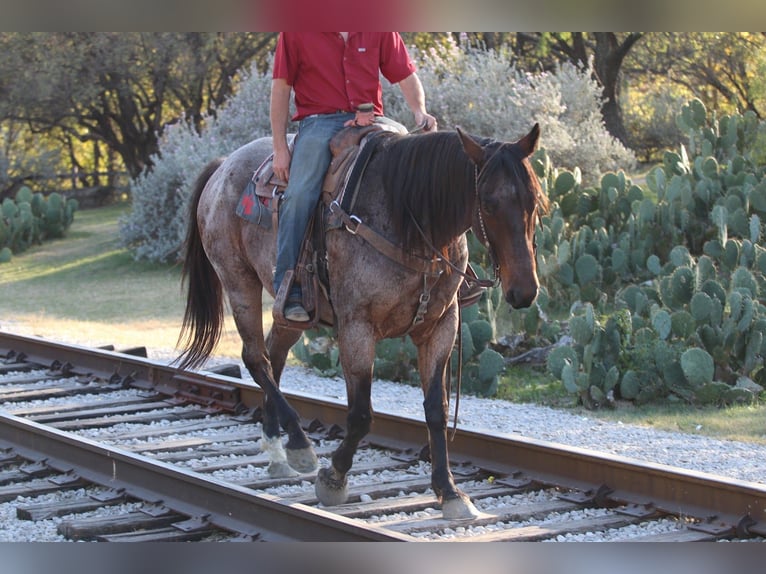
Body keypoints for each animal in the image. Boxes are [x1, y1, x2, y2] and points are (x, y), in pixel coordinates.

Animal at [176, 124, 548, 519]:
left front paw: (449, 491)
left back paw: (278, 449)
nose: (524, 290)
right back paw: (300, 443)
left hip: (288, 310)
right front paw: (333, 479)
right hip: (239, 282)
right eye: (489, 203)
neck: (408, 218)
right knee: (256, 359)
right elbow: (360, 415)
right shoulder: (357, 328)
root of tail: (222, 166)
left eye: (536, 201)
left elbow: (437, 409)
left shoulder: (439, 328)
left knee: (274, 357)